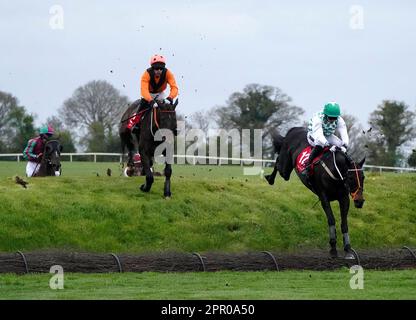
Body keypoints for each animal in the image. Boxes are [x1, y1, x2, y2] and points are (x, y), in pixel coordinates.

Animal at [264, 126, 366, 258]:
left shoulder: (344, 198)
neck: (334, 170)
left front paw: (348, 249)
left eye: (363, 177)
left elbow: (344, 224)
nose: (359, 201)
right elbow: (331, 219)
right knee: (278, 162)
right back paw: (270, 178)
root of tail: (294, 129)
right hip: (285, 168)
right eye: (350, 177)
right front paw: (333, 248)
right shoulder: (324, 197)